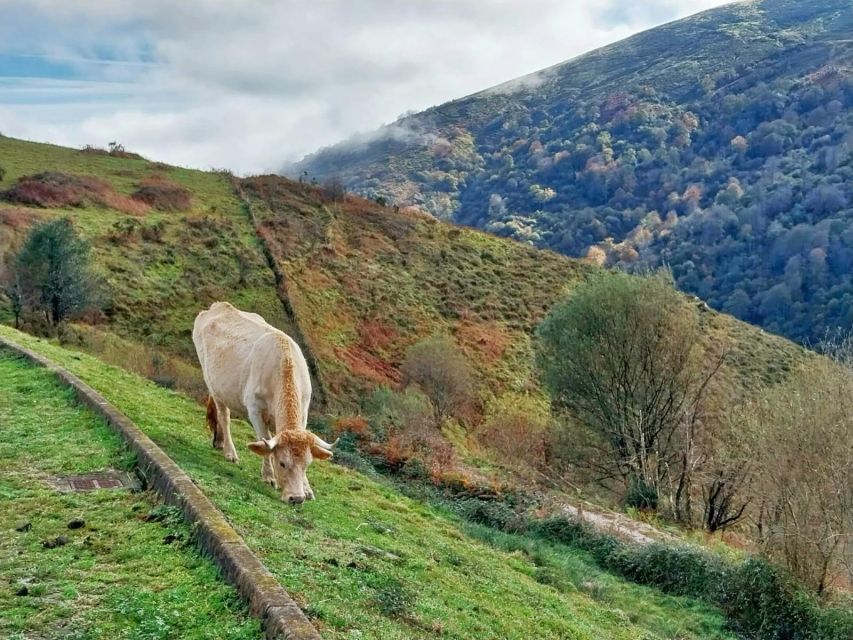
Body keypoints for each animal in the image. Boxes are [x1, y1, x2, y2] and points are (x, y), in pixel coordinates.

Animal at [193, 302, 336, 504]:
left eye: (307, 465)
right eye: (282, 463)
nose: (296, 498)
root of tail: (219, 306)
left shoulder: (304, 412)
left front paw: (307, 489)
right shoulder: (255, 409)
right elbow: (265, 439)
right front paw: (269, 476)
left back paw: (219, 442)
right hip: (212, 383)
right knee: (224, 416)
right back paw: (230, 452)